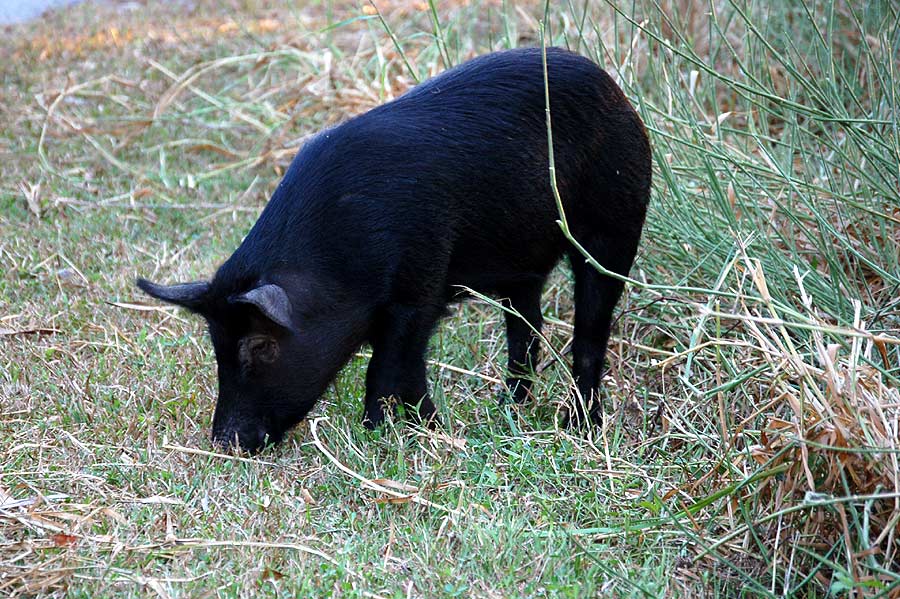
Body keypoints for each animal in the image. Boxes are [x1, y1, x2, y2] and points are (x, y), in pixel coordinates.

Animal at [137, 47, 652, 452]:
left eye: (261, 345)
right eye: (217, 345)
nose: (225, 442)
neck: (338, 262)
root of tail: (618, 92)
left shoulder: (420, 284)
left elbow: (386, 370)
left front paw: (378, 433)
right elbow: (410, 368)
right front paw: (431, 427)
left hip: (615, 224)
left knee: (589, 332)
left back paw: (580, 426)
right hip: (521, 268)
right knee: (527, 330)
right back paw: (507, 406)